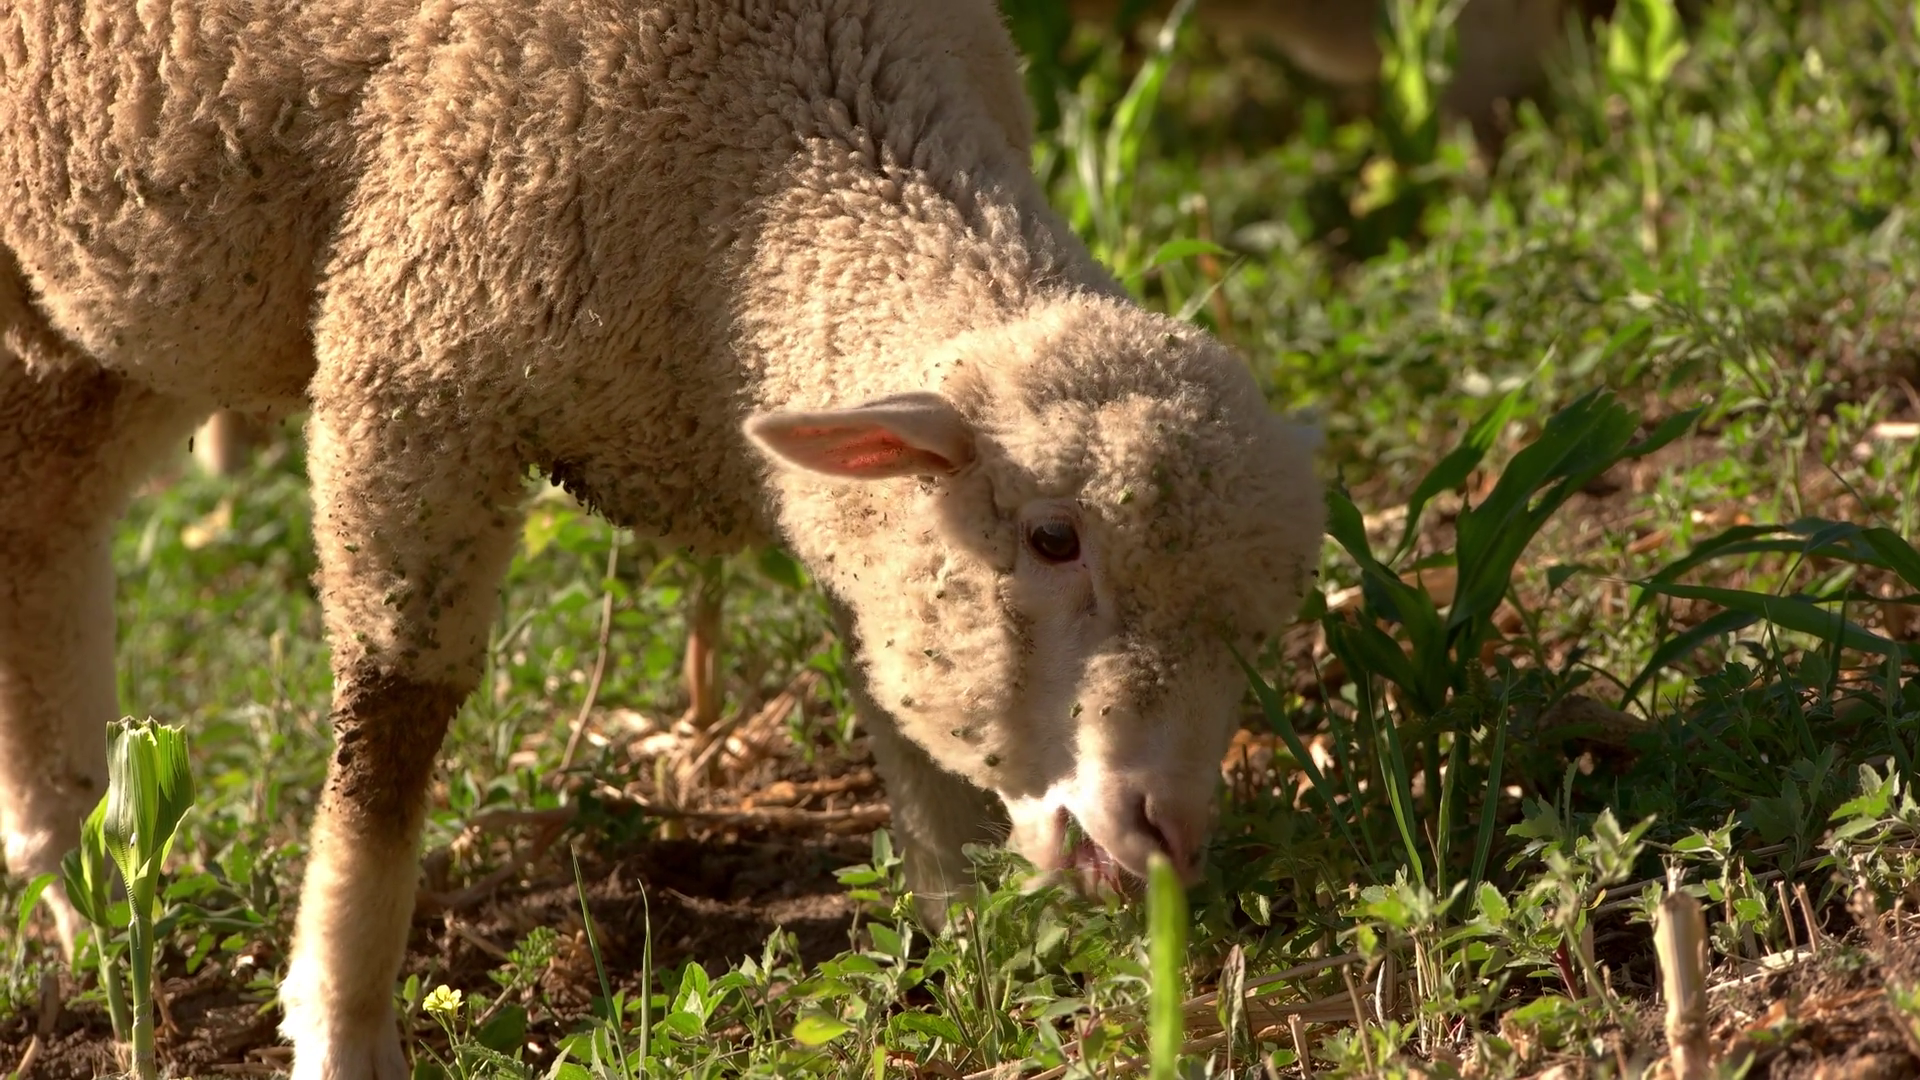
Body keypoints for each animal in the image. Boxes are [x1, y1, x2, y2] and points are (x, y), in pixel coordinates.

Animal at [0, 1, 1325, 1076]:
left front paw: (970, 948)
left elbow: (889, 692)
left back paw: (83, 890)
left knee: (43, 519)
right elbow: (392, 726)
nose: (1164, 836)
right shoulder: (414, 361)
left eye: (1256, 630)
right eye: (1055, 541)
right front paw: (341, 1024)